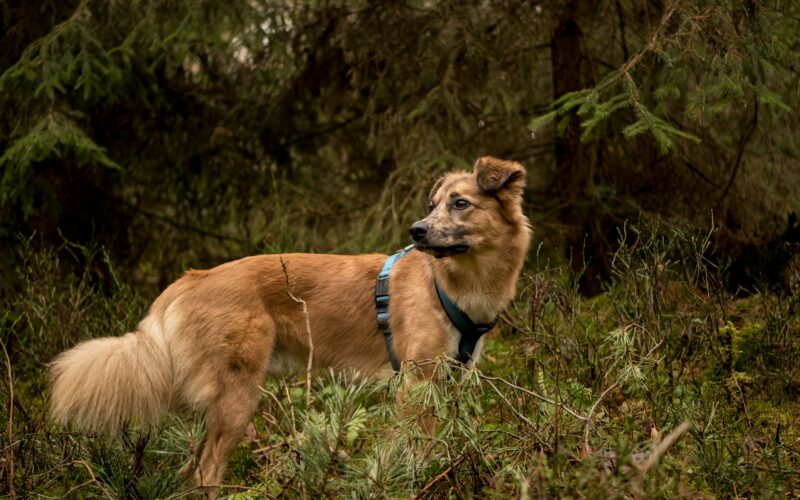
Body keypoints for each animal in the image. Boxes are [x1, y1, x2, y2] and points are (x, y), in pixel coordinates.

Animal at [50, 155, 532, 488]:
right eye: (433, 205)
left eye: (461, 203)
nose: (417, 230)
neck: (452, 285)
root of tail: (192, 278)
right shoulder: (417, 385)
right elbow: (418, 449)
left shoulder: (452, 381)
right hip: (238, 399)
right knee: (206, 473)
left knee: (191, 472)